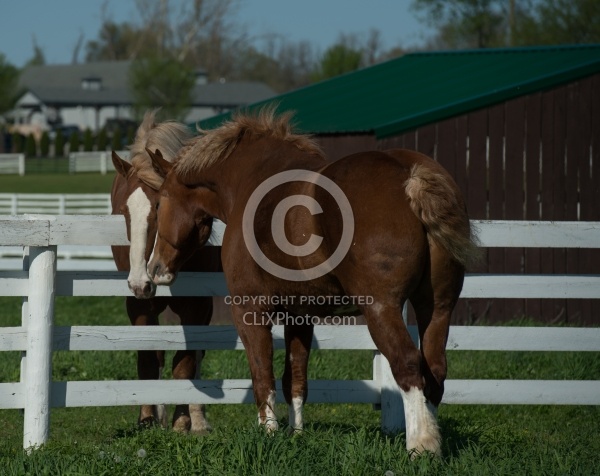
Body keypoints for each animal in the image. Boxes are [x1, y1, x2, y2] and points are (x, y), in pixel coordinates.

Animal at [110, 110, 220, 432]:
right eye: (123, 211)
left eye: (160, 207)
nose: (140, 282)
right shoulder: (139, 307)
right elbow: (149, 359)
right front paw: (148, 417)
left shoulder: (198, 307)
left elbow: (186, 363)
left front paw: (184, 420)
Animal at [145, 109, 478, 458]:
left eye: (159, 204)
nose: (154, 267)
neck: (252, 181)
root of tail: (410, 174)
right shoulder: (300, 316)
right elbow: (295, 379)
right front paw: (296, 435)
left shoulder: (250, 311)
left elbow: (262, 374)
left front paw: (269, 434)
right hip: (437, 307)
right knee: (435, 369)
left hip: (381, 309)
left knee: (409, 365)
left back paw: (422, 446)